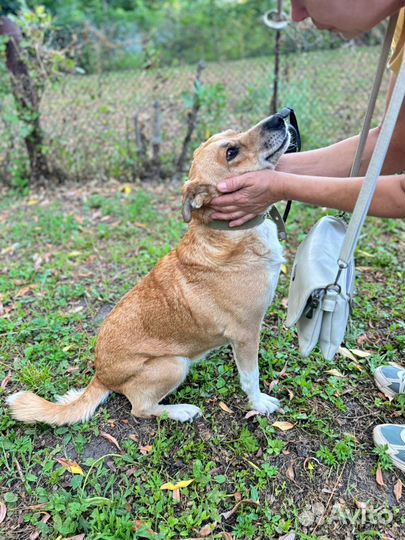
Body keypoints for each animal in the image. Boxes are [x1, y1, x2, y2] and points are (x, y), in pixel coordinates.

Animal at [7, 115, 288, 426]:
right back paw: (181, 410)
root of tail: (101, 376)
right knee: (140, 408)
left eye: (233, 132)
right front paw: (259, 403)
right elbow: (251, 377)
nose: (282, 116)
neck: (228, 233)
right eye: (231, 152)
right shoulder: (246, 333)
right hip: (174, 364)